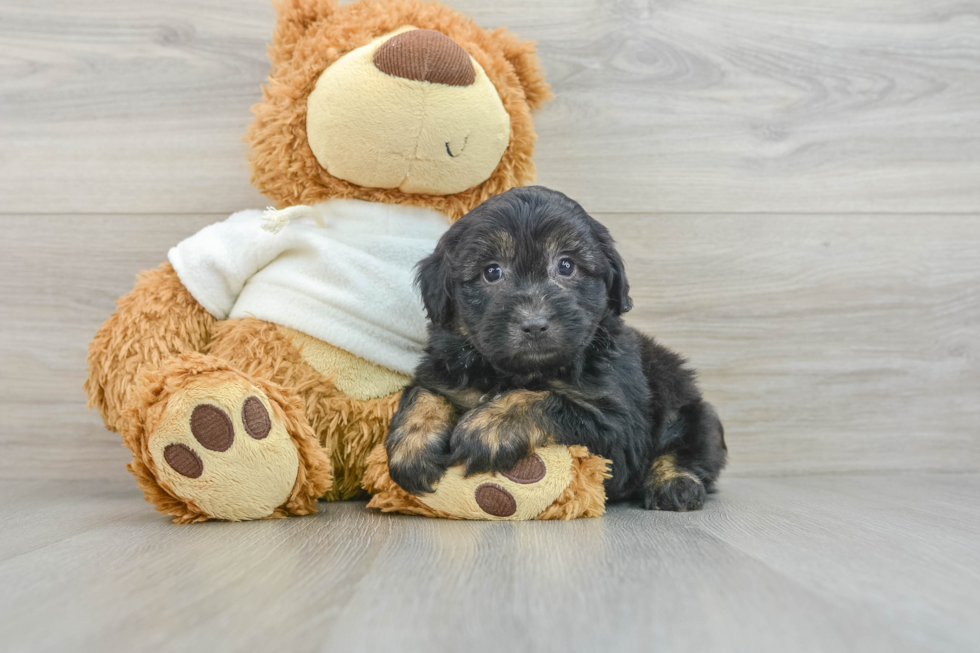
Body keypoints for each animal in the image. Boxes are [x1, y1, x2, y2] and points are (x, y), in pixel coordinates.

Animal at [386, 183, 724, 510]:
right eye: (492, 271)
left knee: (689, 446)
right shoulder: (443, 370)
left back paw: (675, 484)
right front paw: (412, 447)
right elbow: (423, 394)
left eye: (566, 266)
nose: (534, 324)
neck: (513, 372)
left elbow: (548, 399)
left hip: (685, 403)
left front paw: (489, 425)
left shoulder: (620, 428)